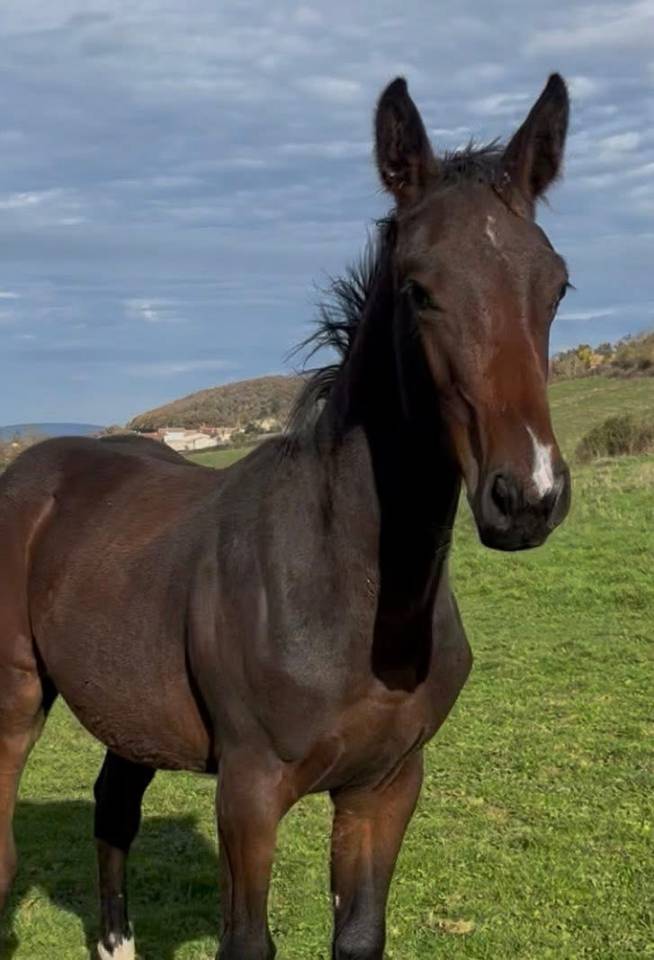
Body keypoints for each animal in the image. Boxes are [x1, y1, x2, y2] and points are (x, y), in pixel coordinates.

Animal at [0, 73, 572, 959]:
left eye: (556, 285)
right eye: (419, 289)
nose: (528, 497)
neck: (348, 583)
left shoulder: (385, 786)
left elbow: (360, 934)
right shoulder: (250, 788)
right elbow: (248, 941)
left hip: (129, 706)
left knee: (114, 805)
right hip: (16, 698)